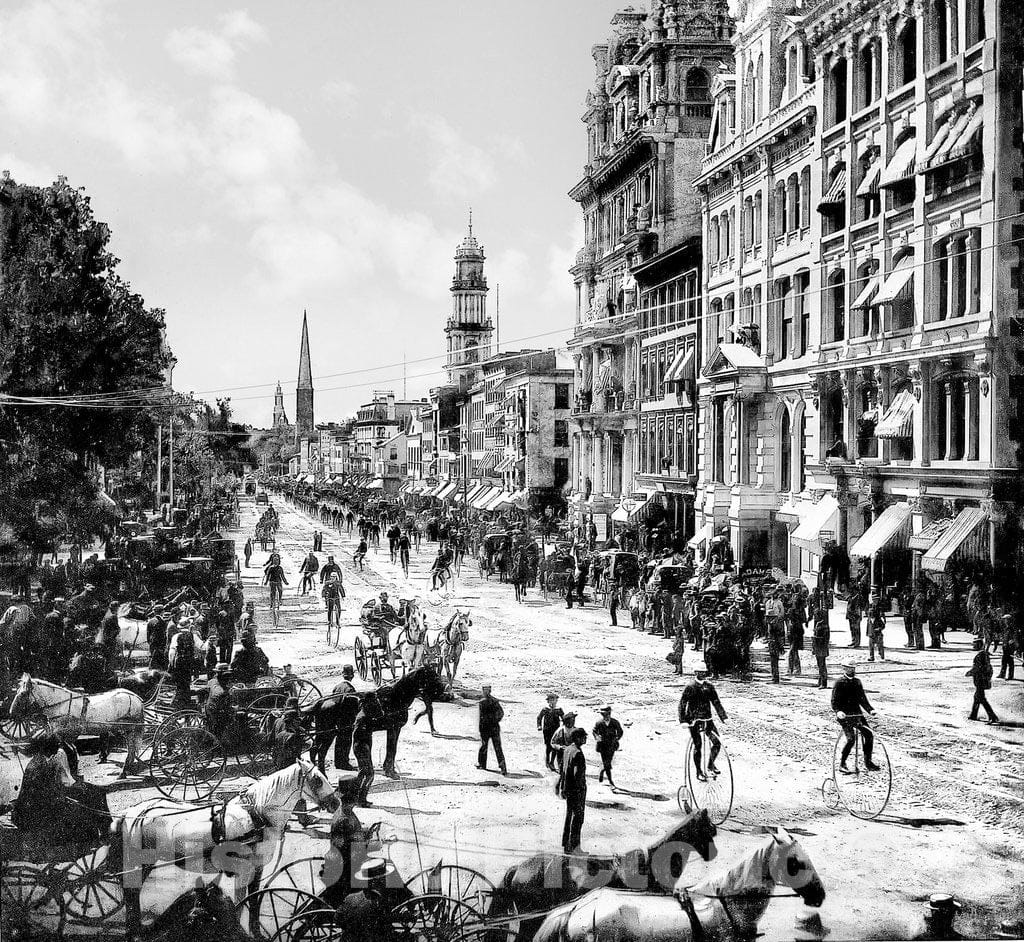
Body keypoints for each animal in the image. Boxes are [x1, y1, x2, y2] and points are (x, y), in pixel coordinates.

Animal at [9, 671, 146, 778]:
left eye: (22, 694)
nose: (11, 712)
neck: (63, 705)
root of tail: (135, 697)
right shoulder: (64, 734)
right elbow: (70, 748)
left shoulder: (68, 732)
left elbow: (69, 749)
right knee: (131, 750)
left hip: (129, 729)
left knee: (131, 750)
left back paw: (124, 772)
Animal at [114, 761, 339, 937]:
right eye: (317, 780)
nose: (336, 803)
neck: (257, 816)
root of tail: (133, 811)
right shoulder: (243, 869)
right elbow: (243, 902)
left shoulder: (256, 868)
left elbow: (253, 901)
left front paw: (253, 931)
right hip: (140, 862)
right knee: (131, 893)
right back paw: (134, 930)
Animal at [305, 667, 446, 778]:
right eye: (433, 676)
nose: (444, 688)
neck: (395, 697)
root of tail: (321, 701)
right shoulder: (394, 728)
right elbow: (391, 749)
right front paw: (390, 772)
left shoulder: (395, 729)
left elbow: (392, 749)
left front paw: (390, 770)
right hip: (327, 733)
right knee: (321, 752)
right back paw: (323, 774)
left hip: (325, 732)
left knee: (315, 750)